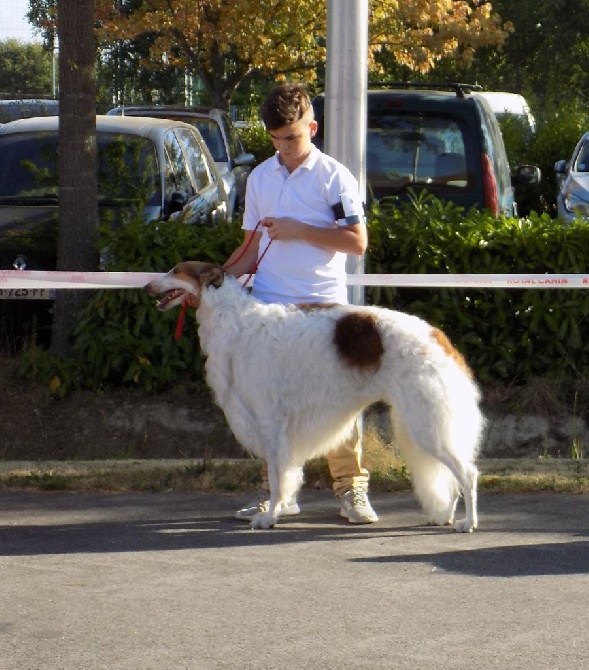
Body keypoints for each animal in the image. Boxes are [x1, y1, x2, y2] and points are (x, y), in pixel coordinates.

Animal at [144, 266, 482, 532]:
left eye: (176, 270)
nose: (147, 286)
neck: (235, 322)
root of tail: (438, 336)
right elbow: (285, 475)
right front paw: (276, 509)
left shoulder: (270, 421)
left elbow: (277, 477)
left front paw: (269, 517)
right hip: (420, 421)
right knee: (452, 476)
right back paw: (445, 517)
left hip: (426, 422)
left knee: (467, 473)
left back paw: (467, 523)